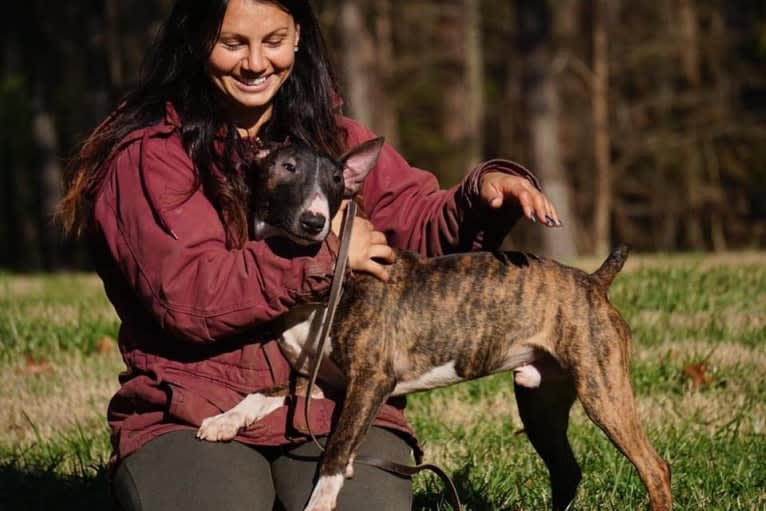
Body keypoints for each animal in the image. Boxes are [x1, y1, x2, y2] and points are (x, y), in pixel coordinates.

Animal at [198, 139, 672, 511]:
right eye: (287, 167)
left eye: (335, 182)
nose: (315, 221)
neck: (330, 283)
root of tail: (593, 281)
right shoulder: (320, 381)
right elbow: (265, 391)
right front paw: (225, 421)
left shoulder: (371, 380)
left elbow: (334, 448)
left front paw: (321, 500)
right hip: (540, 401)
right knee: (568, 471)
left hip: (601, 390)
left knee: (655, 467)